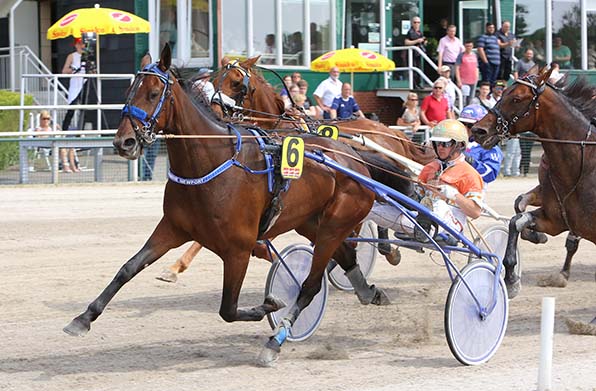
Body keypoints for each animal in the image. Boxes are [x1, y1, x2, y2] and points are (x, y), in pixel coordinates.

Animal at [64, 44, 386, 366]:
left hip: (335, 223)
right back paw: (368, 291)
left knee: (310, 285)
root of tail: (353, 156)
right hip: (312, 223)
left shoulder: (238, 249)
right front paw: (83, 318)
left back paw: (276, 341)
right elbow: (128, 268)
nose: (124, 142)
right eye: (129, 91)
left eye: (154, 93)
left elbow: (228, 309)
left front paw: (270, 304)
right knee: (346, 255)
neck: (211, 160)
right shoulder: (172, 228)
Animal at [157, 56, 434, 282]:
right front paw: (174, 266)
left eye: (237, 83)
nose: (211, 110)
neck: (277, 130)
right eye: (215, 80)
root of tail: (392, 132)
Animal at [472, 65, 596, 300]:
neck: (582, 164)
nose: (478, 130)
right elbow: (517, 219)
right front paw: (511, 278)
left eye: (517, 99)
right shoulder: (556, 220)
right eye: (502, 93)